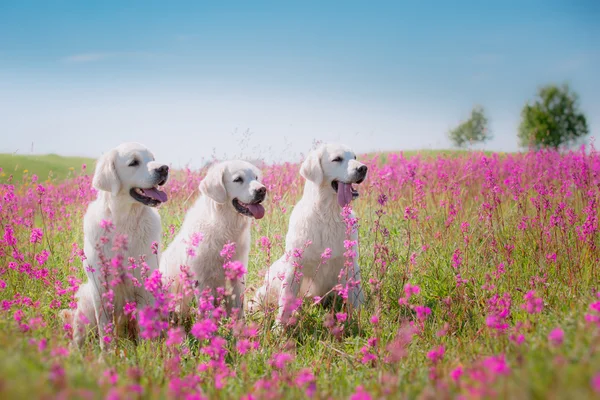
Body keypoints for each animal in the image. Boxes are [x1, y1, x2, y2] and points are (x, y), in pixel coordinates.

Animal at [248, 144, 366, 324]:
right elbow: (285, 301)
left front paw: (362, 318)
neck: (328, 214)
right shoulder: (294, 267)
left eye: (354, 157)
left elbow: (357, 297)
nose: (363, 168)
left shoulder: (351, 263)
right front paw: (279, 327)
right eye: (337, 159)